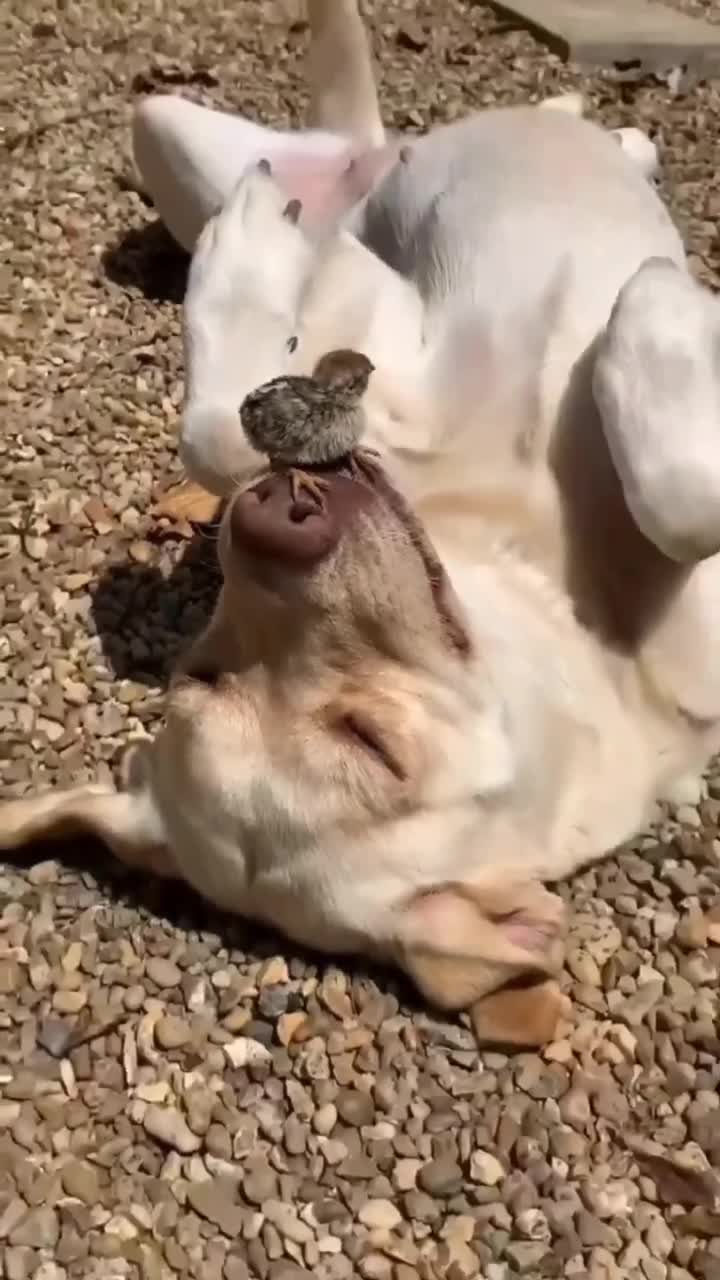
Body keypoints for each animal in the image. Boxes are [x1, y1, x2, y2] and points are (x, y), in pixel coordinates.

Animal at [4, 0, 720, 1046]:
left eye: (371, 741)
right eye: (205, 675)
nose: (277, 519)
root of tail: (373, 150)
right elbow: (224, 432)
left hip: (183, 132)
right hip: (168, 135)